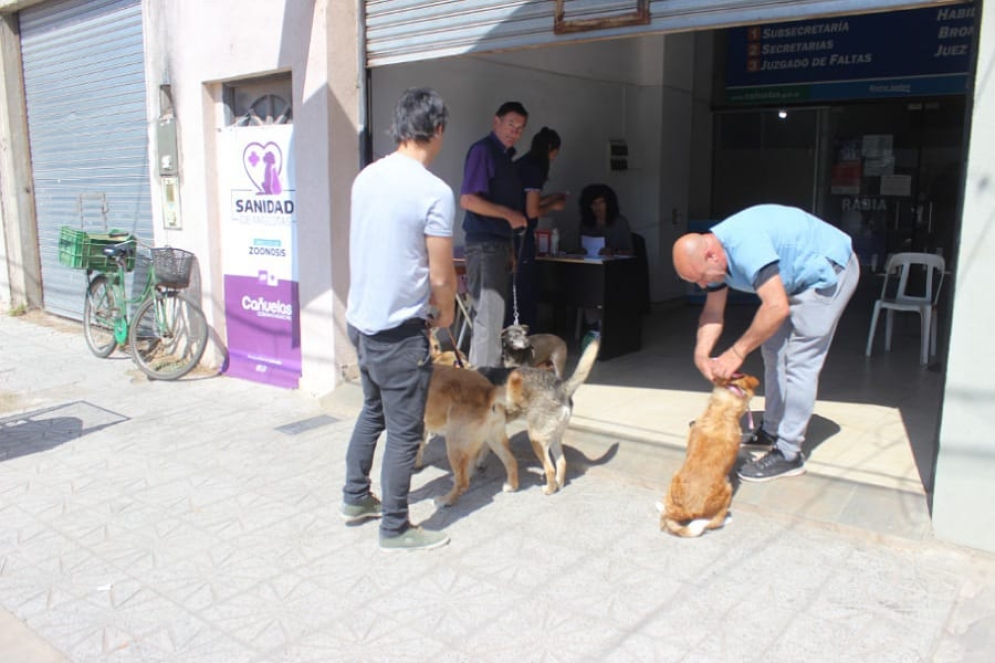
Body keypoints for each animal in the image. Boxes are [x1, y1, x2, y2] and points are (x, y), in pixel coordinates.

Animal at [664, 374, 760, 540]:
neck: (720, 413)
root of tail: (686, 510)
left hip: (672, 483)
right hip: (727, 490)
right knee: (714, 522)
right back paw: (726, 519)